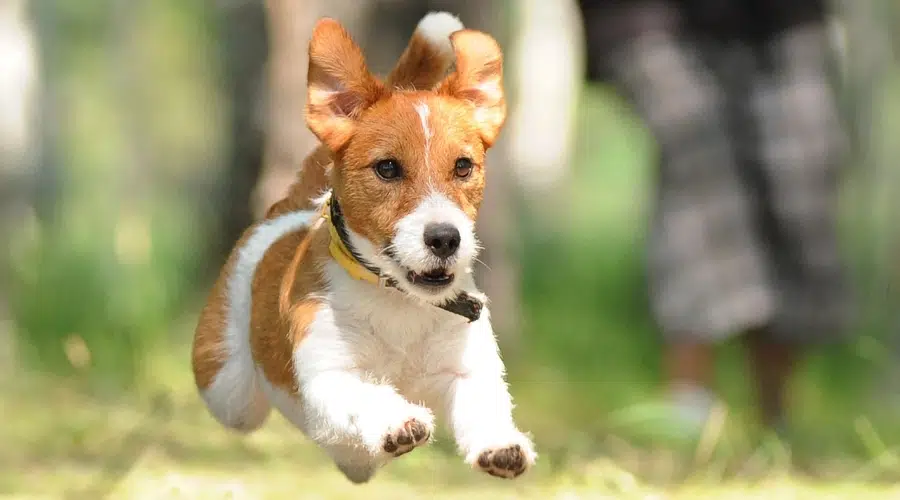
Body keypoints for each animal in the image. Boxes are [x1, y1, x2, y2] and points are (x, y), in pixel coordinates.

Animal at [192, 12, 536, 484]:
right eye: (387, 168)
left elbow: (483, 401)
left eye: (463, 166)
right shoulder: (329, 375)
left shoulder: (467, 366)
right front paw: (397, 421)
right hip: (229, 390)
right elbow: (364, 395)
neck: (398, 300)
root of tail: (292, 207)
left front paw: (500, 443)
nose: (445, 238)